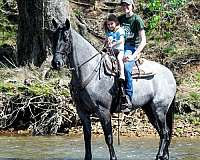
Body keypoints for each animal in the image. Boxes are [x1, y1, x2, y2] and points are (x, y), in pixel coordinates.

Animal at [51, 19, 177, 160]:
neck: (90, 70)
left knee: (165, 132)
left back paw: (159, 155)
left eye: (66, 38)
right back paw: (164, 155)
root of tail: (170, 74)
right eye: (53, 37)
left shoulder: (103, 111)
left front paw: (113, 157)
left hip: (160, 109)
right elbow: (87, 137)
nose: (56, 63)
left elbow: (108, 137)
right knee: (163, 132)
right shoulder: (82, 112)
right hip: (149, 109)